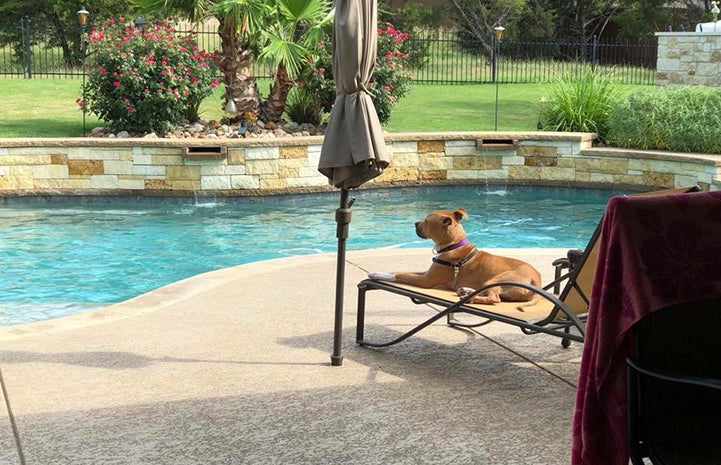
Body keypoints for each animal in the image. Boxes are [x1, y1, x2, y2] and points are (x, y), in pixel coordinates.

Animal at [368, 207, 544, 304]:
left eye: (426, 220)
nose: (415, 223)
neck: (454, 245)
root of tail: (537, 281)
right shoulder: (427, 272)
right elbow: (401, 271)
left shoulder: (425, 280)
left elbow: (401, 275)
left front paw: (377, 274)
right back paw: (466, 291)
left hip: (498, 279)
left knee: (495, 298)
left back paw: (471, 298)